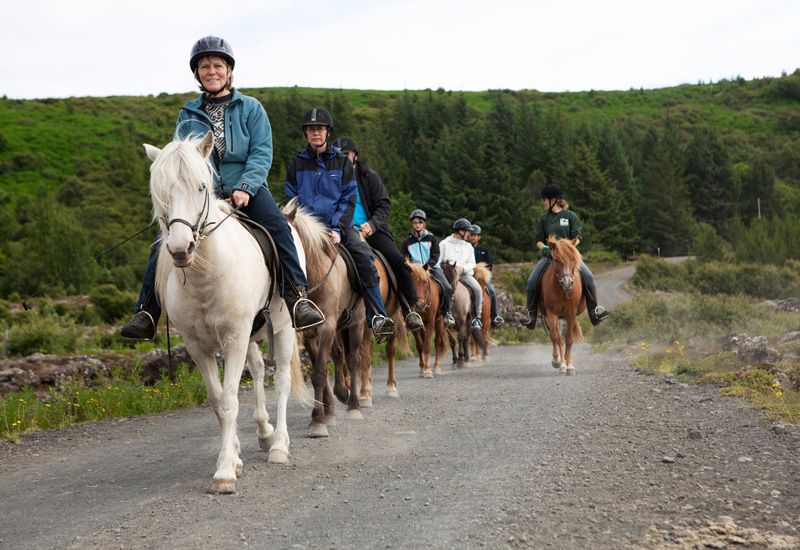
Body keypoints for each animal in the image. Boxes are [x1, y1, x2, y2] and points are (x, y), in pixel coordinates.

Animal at [145, 134, 308, 496]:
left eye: (202, 186)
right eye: (160, 191)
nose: (180, 249)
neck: (206, 275)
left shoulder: (234, 337)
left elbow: (232, 400)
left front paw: (224, 473)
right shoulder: (198, 345)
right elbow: (218, 401)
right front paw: (233, 457)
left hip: (283, 326)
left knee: (282, 379)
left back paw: (279, 445)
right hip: (251, 334)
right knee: (259, 370)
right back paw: (264, 433)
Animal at [282, 201, 366, 438]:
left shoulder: (327, 326)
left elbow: (319, 372)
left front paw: (318, 421)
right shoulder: (310, 332)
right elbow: (320, 368)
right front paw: (326, 413)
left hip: (357, 323)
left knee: (353, 360)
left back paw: (353, 405)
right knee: (338, 355)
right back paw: (341, 395)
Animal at [540, 237, 584, 376]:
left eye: (573, 259)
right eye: (556, 260)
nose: (567, 283)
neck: (562, 291)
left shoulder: (571, 313)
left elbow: (569, 339)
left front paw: (569, 366)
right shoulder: (551, 312)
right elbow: (556, 337)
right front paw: (558, 362)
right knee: (557, 336)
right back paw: (561, 362)